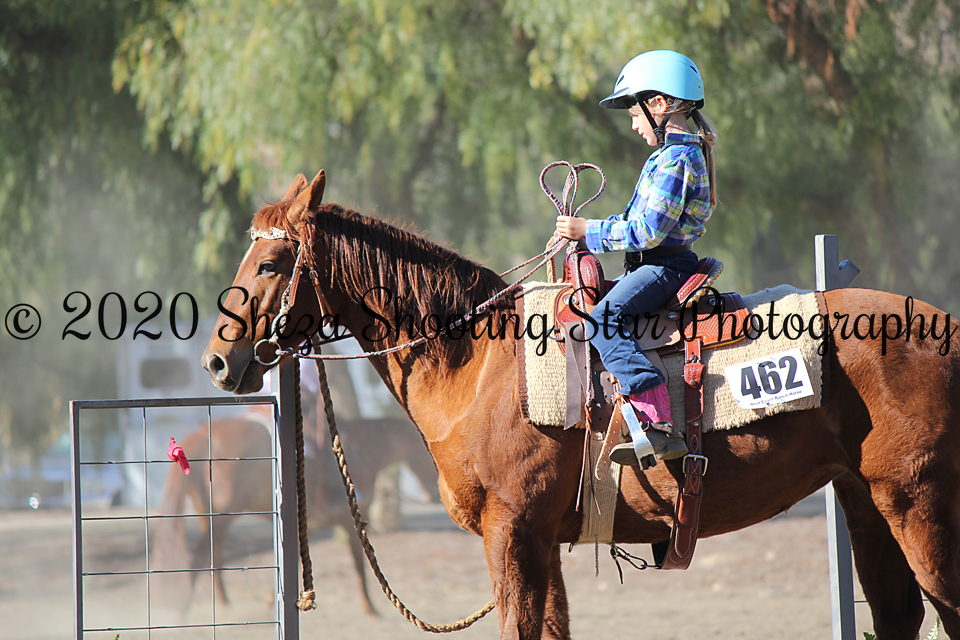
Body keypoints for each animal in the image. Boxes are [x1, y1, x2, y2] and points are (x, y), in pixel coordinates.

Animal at [153, 405, 438, 616]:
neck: (362, 449)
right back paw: (182, 613)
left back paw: (223, 607)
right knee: (200, 557)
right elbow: (359, 564)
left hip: (210, 514)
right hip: (222, 516)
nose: (435, 495)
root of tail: (203, 434)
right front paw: (370, 609)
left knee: (214, 556)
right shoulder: (350, 522)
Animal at [201, 170, 960, 640]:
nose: (217, 360)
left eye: (269, 264)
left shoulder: (510, 532)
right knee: (898, 614)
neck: (477, 360)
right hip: (865, 500)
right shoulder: (540, 539)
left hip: (919, 502)